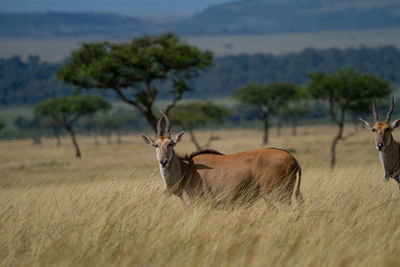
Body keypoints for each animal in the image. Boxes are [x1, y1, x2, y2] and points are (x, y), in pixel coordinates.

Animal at [142, 114, 302, 206]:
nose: (163, 161)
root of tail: (291, 157)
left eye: (170, 144)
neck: (187, 170)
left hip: (278, 196)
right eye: (156, 145)